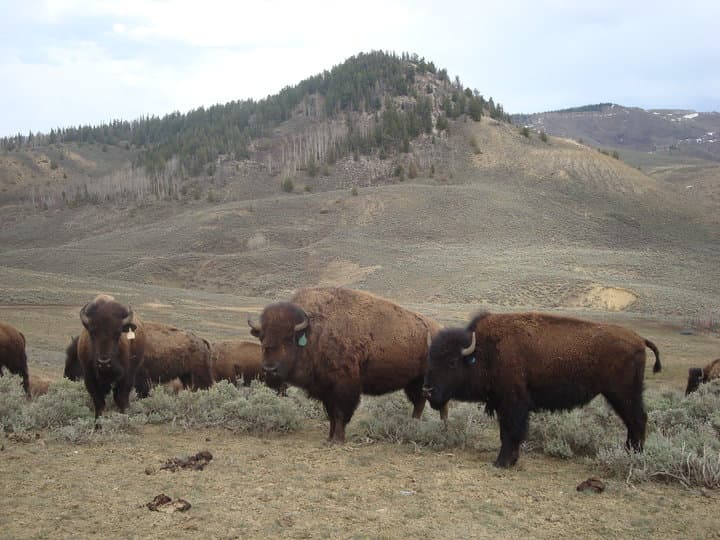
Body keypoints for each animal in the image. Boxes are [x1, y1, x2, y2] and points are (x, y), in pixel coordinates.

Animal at [249, 287, 445, 444]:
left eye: (289, 338)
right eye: (262, 337)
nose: (270, 369)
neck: (314, 331)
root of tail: (438, 329)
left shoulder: (344, 387)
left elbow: (340, 414)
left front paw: (338, 440)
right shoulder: (325, 389)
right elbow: (331, 415)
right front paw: (329, 438)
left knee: (428, 403)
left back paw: (429, 426)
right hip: (414, 382)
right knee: (420, 402)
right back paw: (415, 425)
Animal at [423, 311, 661, 468]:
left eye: (452, 362)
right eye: (430, 359)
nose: (427, 391)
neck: (485, 351)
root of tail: (639, 339)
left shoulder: (513, 403)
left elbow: (510, 432)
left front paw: (501, 462)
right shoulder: (503, 404)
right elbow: (507, 432)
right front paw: (511, 460)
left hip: (623, 393)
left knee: (638, 419)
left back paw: (633, 457)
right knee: (633, 421)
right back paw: (630, 454)